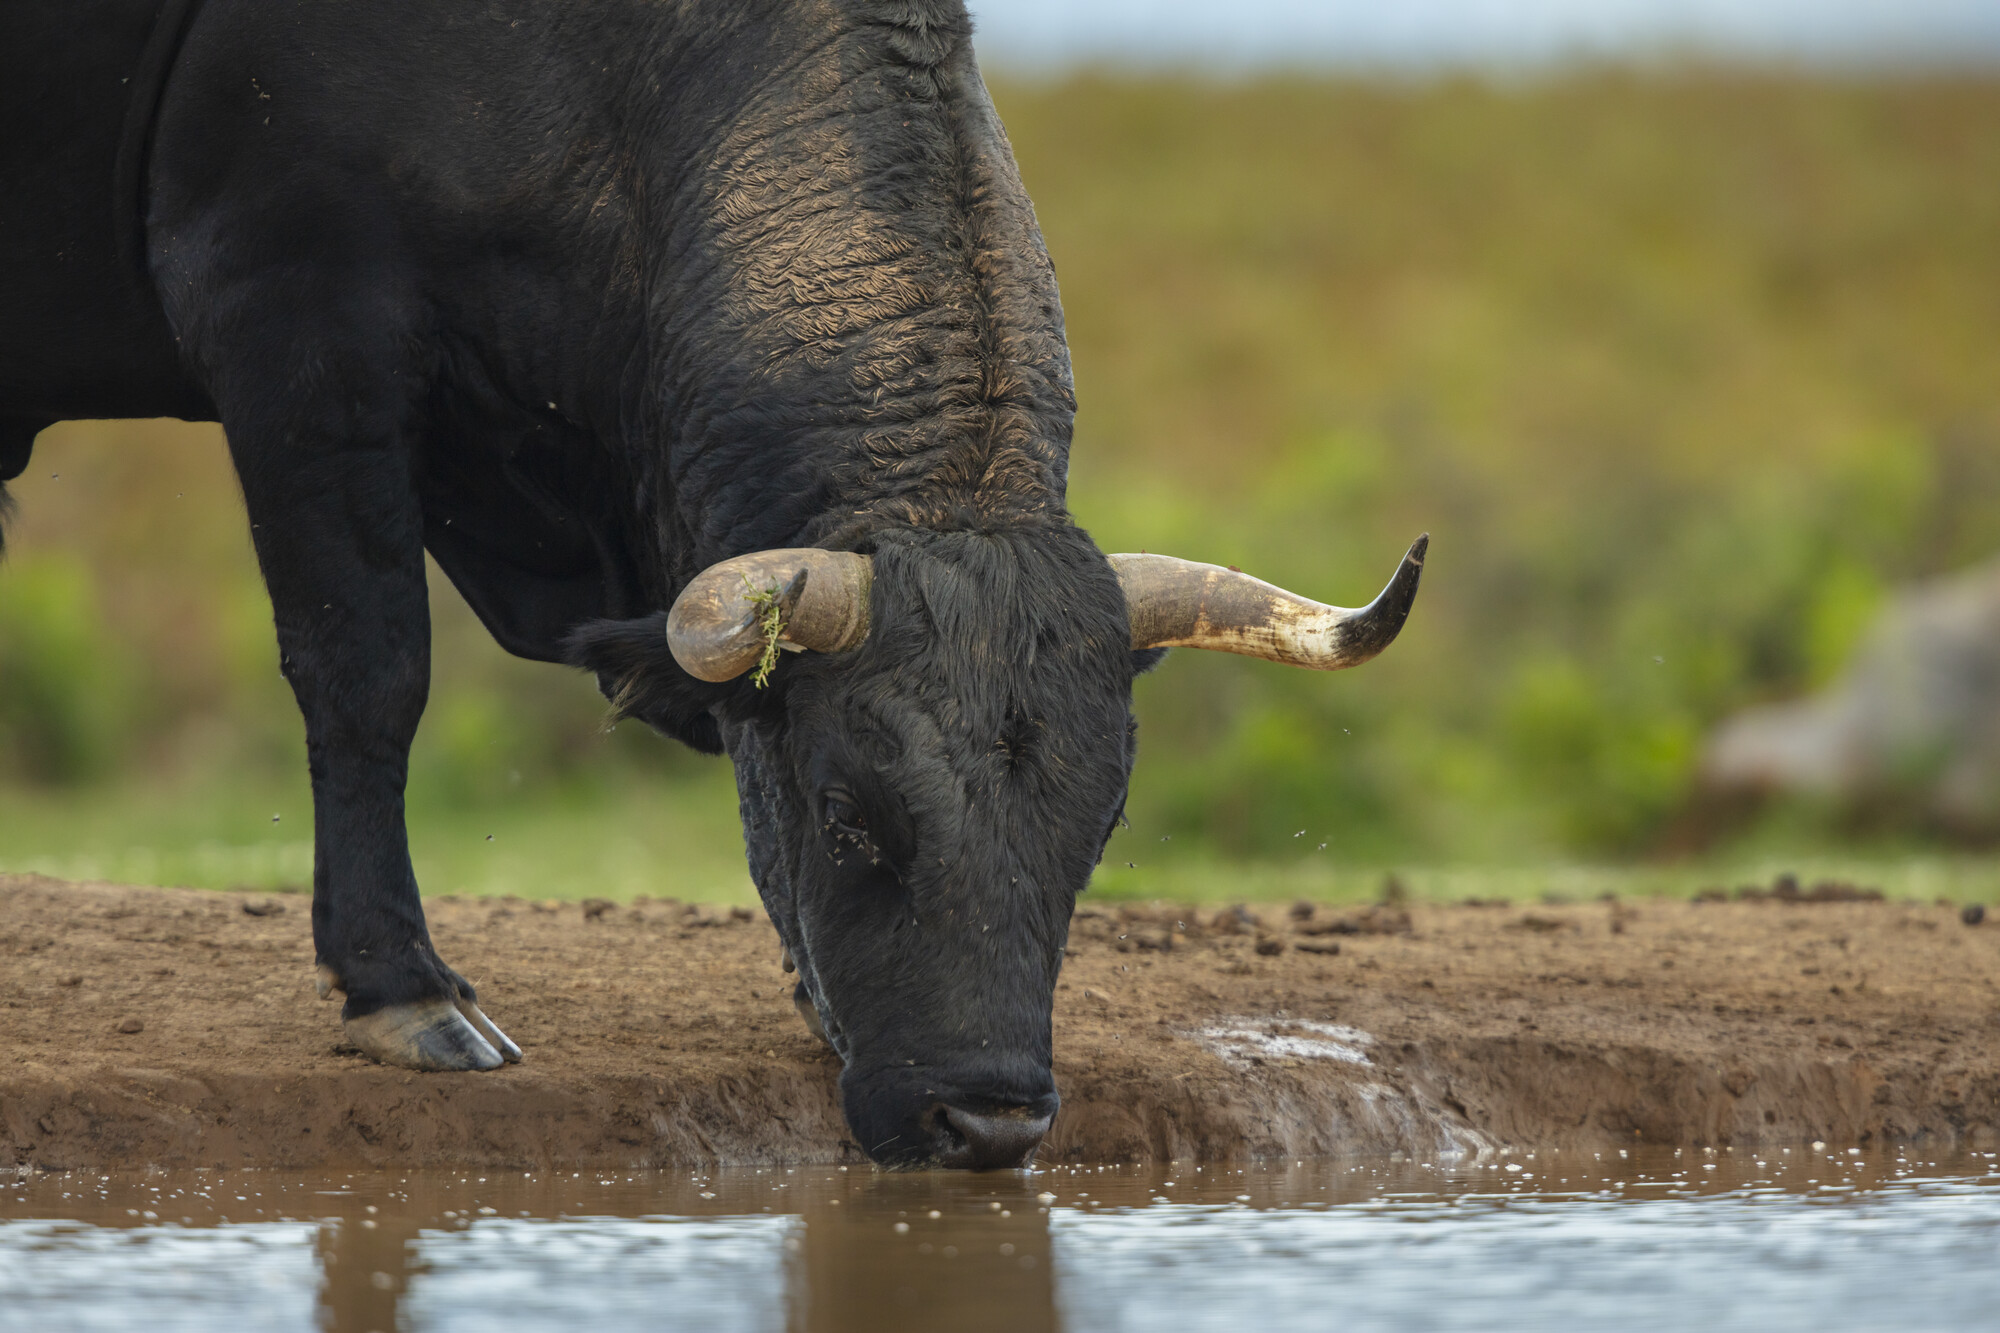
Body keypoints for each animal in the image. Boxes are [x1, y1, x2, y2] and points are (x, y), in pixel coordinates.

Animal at [2, 0, 1424, 1168]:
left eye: (1102, 824)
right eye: (849, 815)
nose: (990, 1120)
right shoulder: (298, 328)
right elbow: (368, 673)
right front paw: (403, 988)